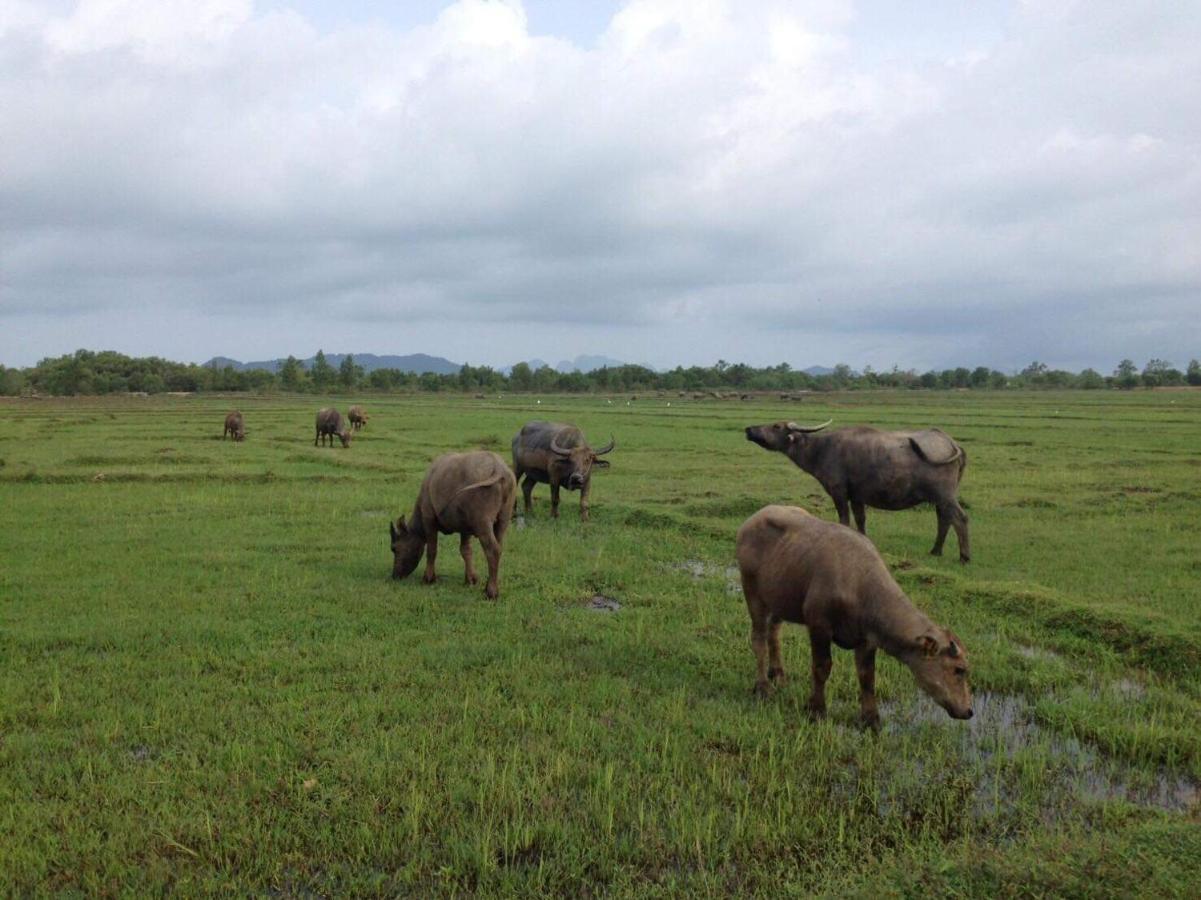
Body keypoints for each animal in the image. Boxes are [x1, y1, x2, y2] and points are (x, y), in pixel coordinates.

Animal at [386, 446, 514, 595]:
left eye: (394, 548)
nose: (395, 575)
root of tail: (498, 468)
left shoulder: (429, 519)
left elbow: (432, 550)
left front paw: (428, 578)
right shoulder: (465, 528)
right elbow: (466, 551)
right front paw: (470, 579)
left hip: (482, 523)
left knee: (492, 550)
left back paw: (491, 591)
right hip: (503, 520)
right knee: (499, 547)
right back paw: (489, 584)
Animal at [730, 502, 975, 725]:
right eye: (959, 670)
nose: (969, 711)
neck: (858, 585)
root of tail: (749, 522)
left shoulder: (866, 639)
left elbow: (867, 677)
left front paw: (871, 719)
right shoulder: (819, 625)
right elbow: (822, 667)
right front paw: (816, 709)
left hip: (780, 598)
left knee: (774, 632)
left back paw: (778, 673)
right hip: (752, 592)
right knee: (759, 638)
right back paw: (763, 686)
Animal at [744, 420, 970, 562]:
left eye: (776, 426)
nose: (749, 429)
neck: (822, 449)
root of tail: (951, 443)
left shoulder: (839, 492)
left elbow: (844, 519)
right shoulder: (857, 497)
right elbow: (860, 520)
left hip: (945, 495)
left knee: (960, 518)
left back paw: (964, 556)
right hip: (940, 498)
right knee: (944, 519)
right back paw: (936, 550)